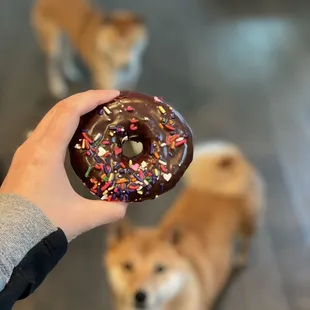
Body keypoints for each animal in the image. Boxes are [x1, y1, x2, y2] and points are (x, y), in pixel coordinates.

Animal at [103, 141, 264, 310]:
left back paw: (240, 259)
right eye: (127, 266)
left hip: (248, 223)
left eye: (160, 269)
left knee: (246, 241)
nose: (140, 296)